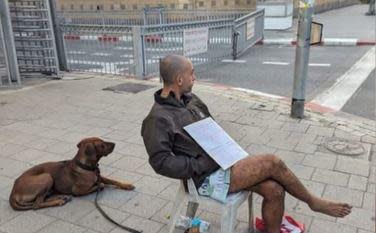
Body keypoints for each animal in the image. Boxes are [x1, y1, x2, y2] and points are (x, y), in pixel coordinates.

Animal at [8, 137, 136, 210]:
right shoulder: (77, 191)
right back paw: (59, 201)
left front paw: (127, 185)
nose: (114, 144)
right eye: (102, 144)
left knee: (41, 200)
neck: (86, 167)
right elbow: (101, 185)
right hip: (46, 177)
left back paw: (61, 197)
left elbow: (113, 180)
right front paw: (98, 186)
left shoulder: (99, 176)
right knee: (36, 204)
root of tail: (13, 193)